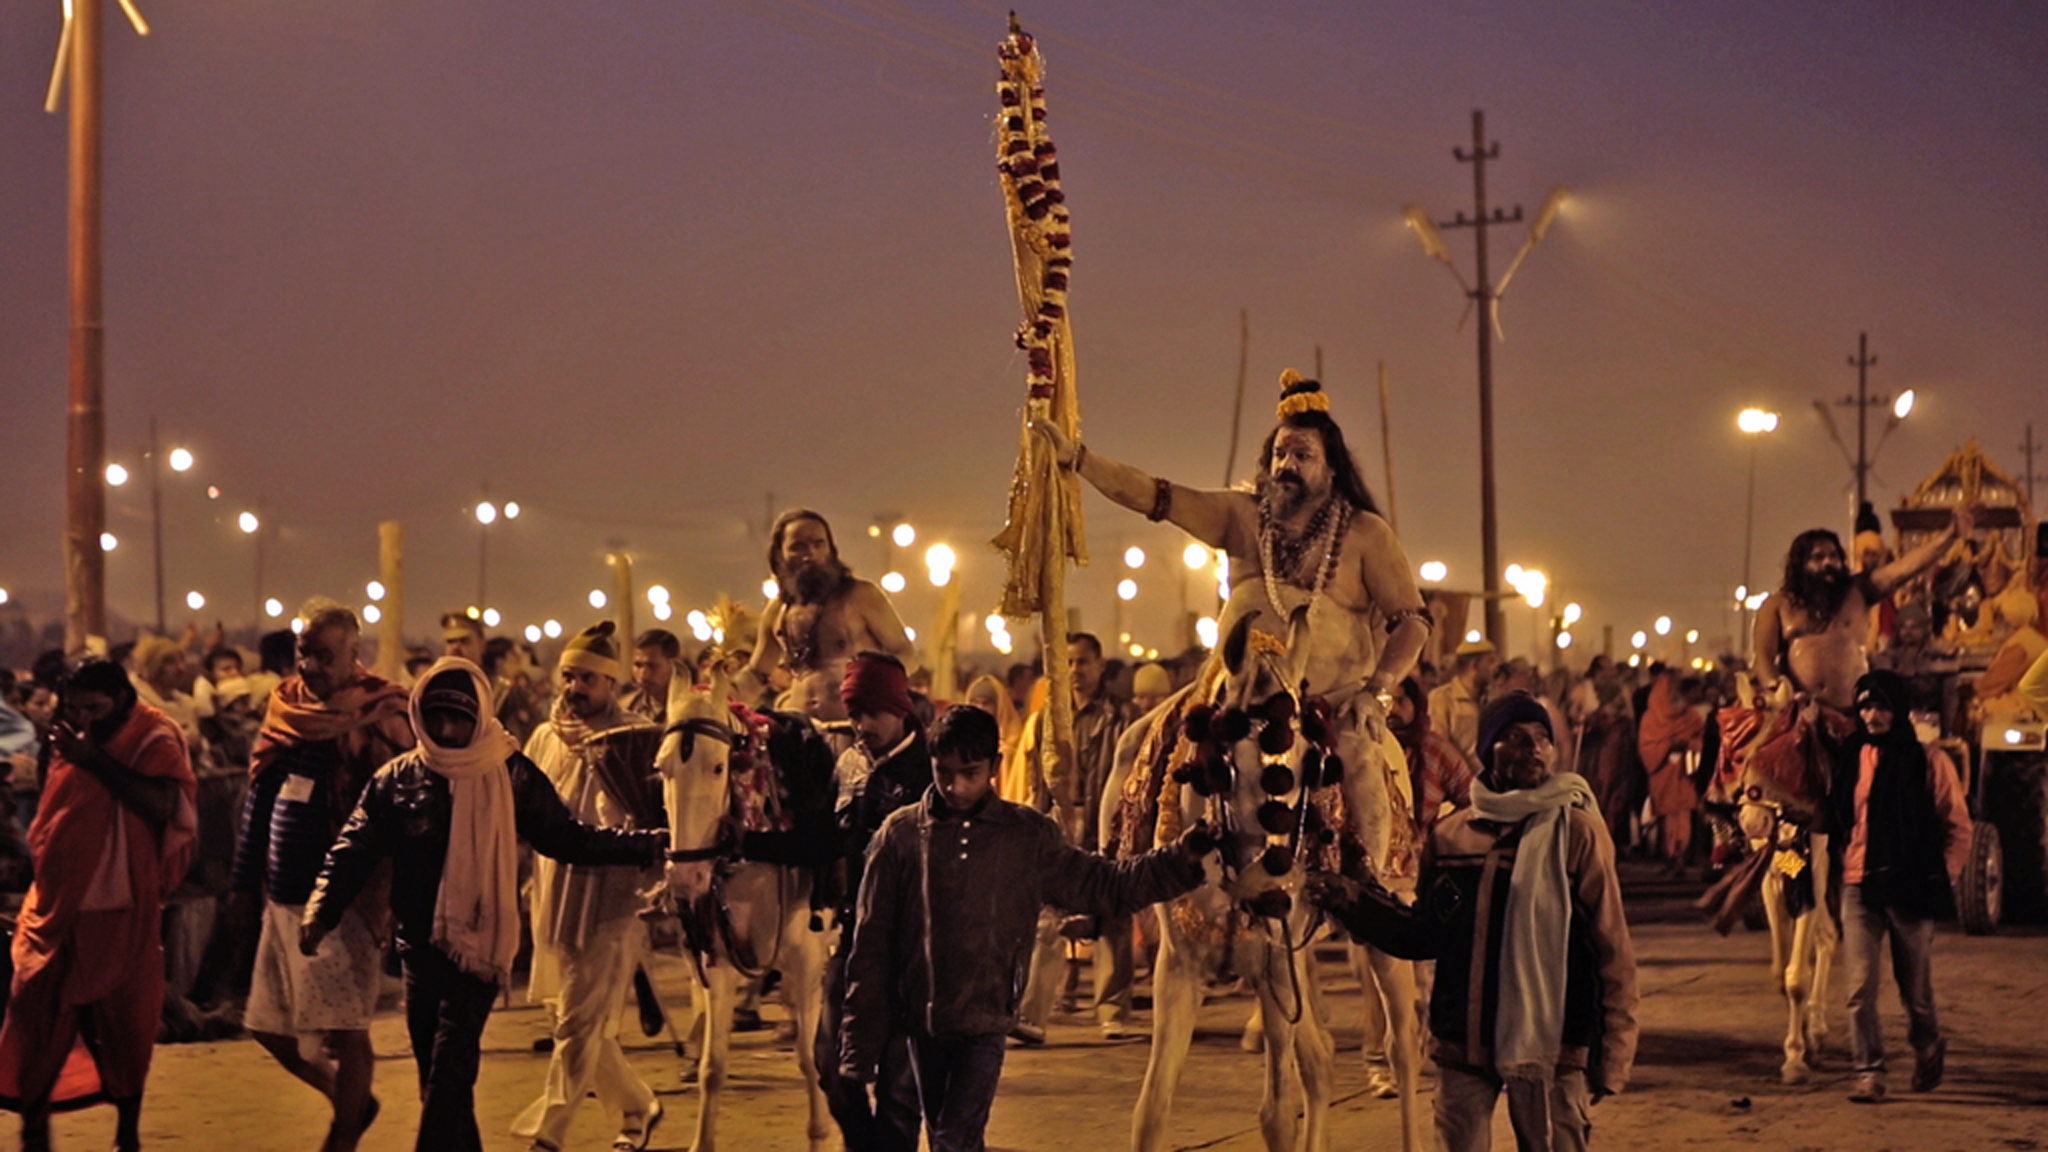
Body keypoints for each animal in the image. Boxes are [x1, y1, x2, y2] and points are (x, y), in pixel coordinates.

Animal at [1114, 614, 1433, 1147]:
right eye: (1226, 764)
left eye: (1313, 762)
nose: (1270, 890)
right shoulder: (1179, 964)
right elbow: (1149, 1112)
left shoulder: (1274, 964)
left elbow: (1278, 1114)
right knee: (1322, 1061)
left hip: (1387, 922)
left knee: (1402, 1044)